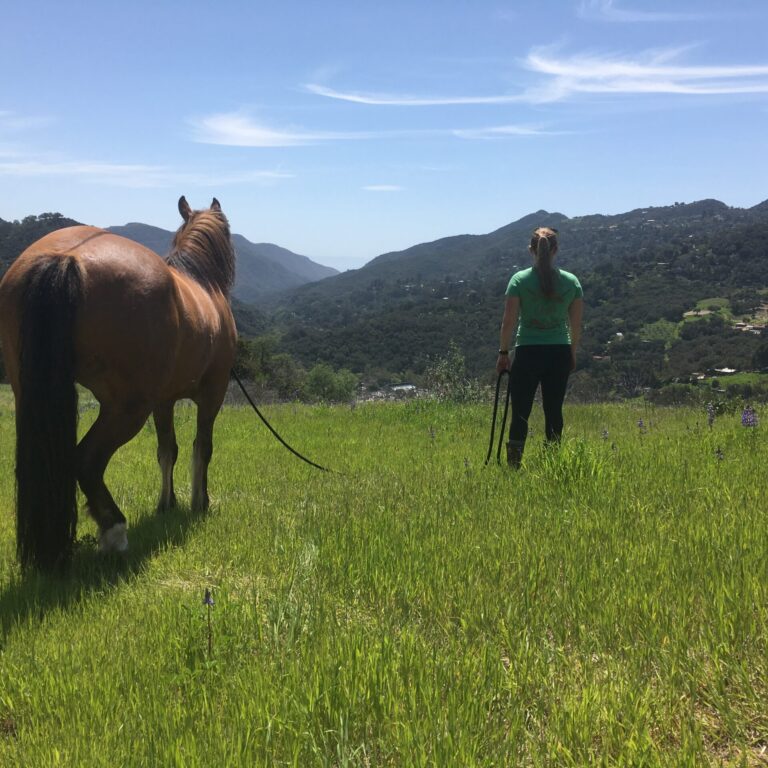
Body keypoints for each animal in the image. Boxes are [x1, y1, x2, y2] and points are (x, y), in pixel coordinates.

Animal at [0, 197, 237, 571]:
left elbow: (167, 450)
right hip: (126, 408)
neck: (203, 285)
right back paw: (114, 532)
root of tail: (64, 257)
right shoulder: (212, 394)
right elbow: (202, 448)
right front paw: (200, 502)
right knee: (86, 460)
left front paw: (166, 504)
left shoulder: (163, 401)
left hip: (33, 397)